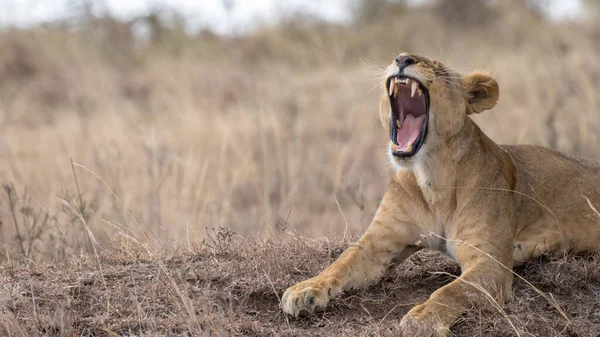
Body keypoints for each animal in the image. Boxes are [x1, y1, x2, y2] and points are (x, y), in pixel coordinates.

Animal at [280, 52, 600, 334]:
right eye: (398, 55)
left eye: (438, 67)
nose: (402, 59)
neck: (432, 176)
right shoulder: (380, 240)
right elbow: (342, 261)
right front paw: (304, 290)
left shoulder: (492, 262)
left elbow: (452, 291)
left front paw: (422, 319)